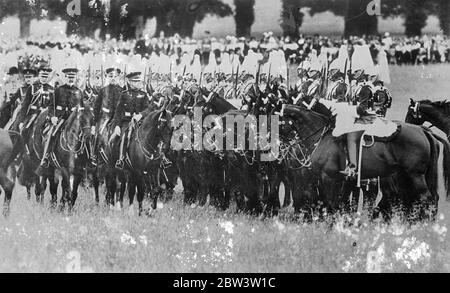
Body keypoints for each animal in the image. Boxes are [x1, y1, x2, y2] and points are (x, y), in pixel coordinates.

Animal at [282, 104, 450, 220]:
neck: (321, 135)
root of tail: (423, 130)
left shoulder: (327, 177)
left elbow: (330, 203)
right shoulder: (337, 180)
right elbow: (335, 203)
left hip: (416, 176)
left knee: (426, 198)